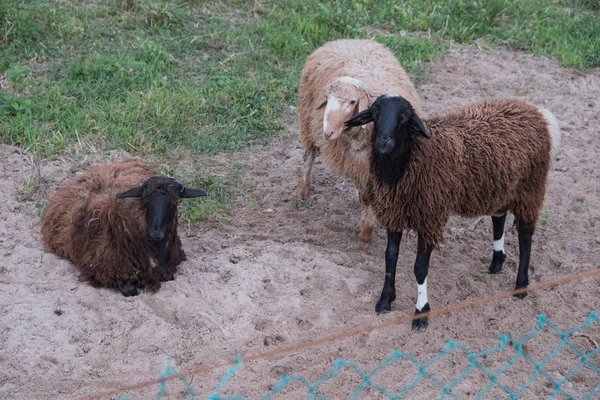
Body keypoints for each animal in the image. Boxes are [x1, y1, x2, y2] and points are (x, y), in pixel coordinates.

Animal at [41, 160, 206, 296]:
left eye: (174, 201)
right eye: (146, 198)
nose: (156, 231)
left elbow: (169, 276)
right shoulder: (101, 270)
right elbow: (130, 290)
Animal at [296, 39, 422, 244]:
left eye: (353, 102)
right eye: (327, 98)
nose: (327, 133)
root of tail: (349, 40)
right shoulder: (359, 164)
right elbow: (366, 197)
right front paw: (366, 232)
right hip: (307, 122)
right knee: (309, 156)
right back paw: (303, 190)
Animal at [344, 95, 564, 330]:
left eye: (405, 117)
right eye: (375, 112)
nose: (384, 141)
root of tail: (538, 112)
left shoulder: (430, 217)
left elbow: (420, 268)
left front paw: (421, 313)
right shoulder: (394, 213)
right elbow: (390, 257)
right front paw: (385, 300)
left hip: (530, 187)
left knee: (525, 235)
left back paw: (521, 286)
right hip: (500, 183)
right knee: (499, 216)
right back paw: (497, 262)